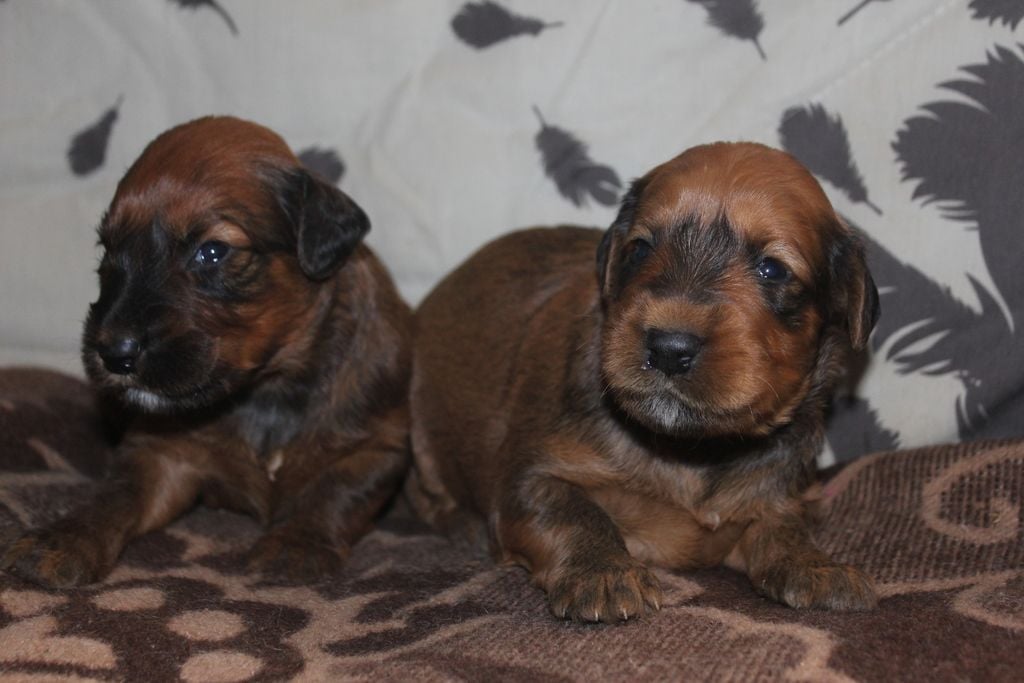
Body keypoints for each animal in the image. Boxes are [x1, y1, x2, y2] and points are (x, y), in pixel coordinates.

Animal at [4, 117, 411, 589]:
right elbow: (115, 494)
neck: (267, 389)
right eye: (108, 250)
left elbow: (333, 492)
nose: (113, 353)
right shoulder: (162, 451)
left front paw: (296, 543)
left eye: (213, 252)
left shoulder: (376, 448)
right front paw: (63, 538)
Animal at [407, 141, 880, 622]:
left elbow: (785, 525)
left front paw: (817, 566)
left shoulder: (784, 493)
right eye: (639, 249)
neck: (693, 451)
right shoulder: (531, 477)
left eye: (773, 269)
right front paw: (604, 573)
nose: (669, 348)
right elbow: (574, 513)